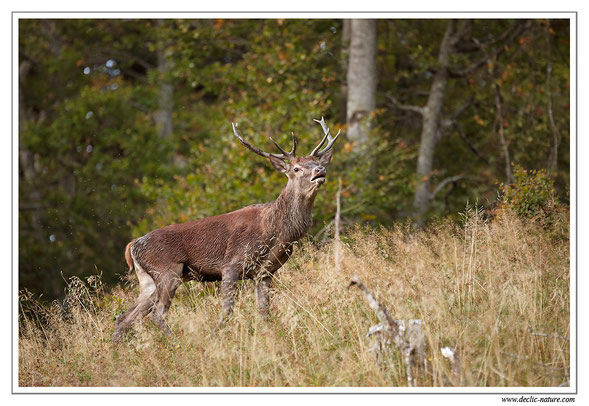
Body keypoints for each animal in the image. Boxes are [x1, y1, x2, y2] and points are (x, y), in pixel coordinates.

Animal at [111, 116, 340, 342]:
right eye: (296, 168)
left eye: (317, 163)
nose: (320, 171)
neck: (277, 232)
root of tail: (132, 245)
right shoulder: (231, 264)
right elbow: (227, 309)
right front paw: (216, 335)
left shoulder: (265, 272)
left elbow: (264, 311)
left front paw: (269, 335)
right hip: (167, 271)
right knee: (155, 315)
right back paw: (177, 341)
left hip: (148, 280)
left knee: (124, 318)